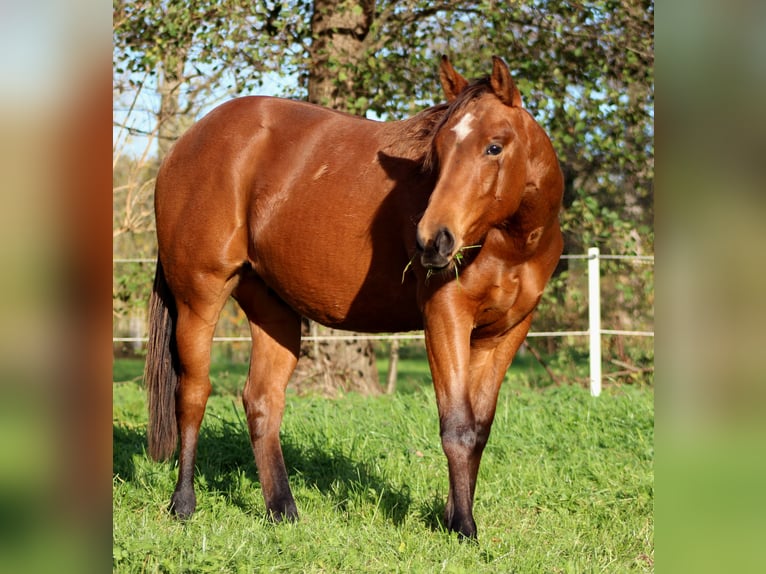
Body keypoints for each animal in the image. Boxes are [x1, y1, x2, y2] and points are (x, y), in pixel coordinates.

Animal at [144, 55, 563, 540]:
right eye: (437, 152)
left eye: (494, 147)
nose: (431, 241)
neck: (510, 243)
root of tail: (185, 144)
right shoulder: (446, 315)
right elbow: (457, 426)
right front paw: (462, 527)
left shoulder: (505, 332)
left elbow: (478, 428)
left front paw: (455, 517)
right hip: (199, 297)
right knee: (193, 393)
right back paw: (183, 504)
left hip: (272, 308)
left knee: (262, 400)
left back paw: (282, 510)